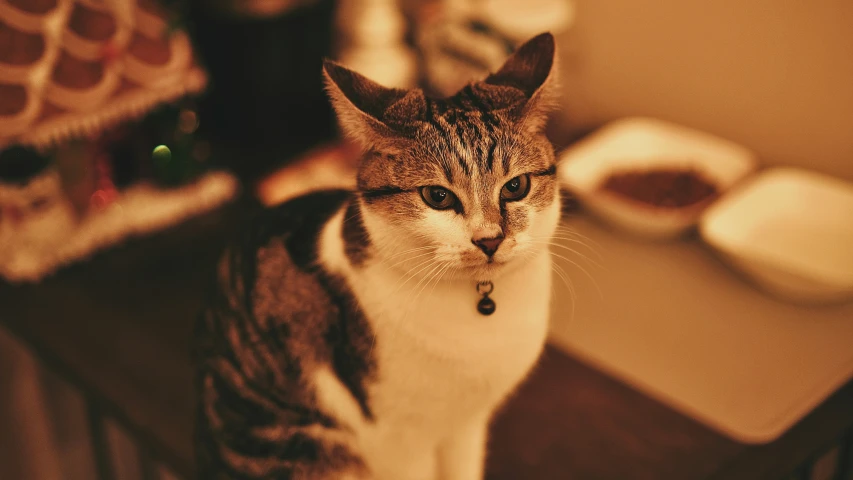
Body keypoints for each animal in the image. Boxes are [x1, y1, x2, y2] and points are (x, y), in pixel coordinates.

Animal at [196, 31, 564, 478]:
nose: (489, 239)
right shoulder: (397, 439)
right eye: (437, 196)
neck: (478, 316)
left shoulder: (468, 425)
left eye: (515, 187)